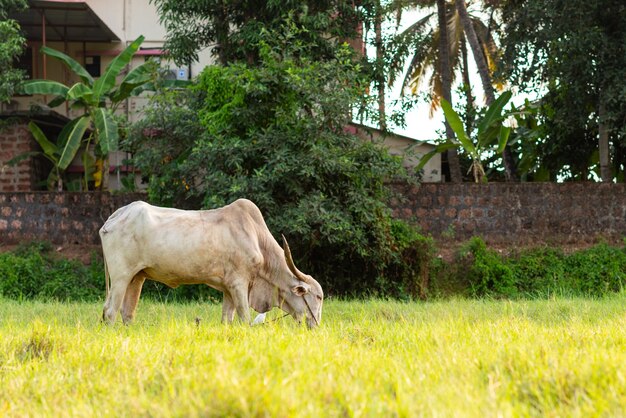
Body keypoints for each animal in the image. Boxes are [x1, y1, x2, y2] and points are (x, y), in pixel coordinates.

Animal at [98, 198, 322, 326]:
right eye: (318, 297)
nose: (316, 325)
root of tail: (114, 217)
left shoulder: (228, 288)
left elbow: (227, 320)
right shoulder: (239, 284)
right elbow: (245, 318)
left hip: (137, 277)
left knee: (127, 313)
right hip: (121, 276)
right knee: (110, 312)